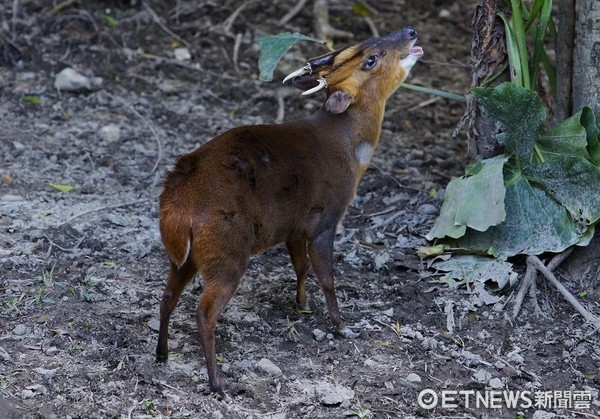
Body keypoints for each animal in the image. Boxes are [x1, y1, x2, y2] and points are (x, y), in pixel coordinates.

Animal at [157, 27, 424, 398]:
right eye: (372, 58)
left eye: (363, 45)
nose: (410, 31)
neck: (347, 144)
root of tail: (178, 204)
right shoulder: (325, 218)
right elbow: (327, 276)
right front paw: (342, 326)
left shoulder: (294, 225)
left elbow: (300, 266)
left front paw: (302, 303)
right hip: (227, 251)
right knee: (204, 311)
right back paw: (216, 382)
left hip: (185, 257)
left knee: (167, 296)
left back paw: (162, 354)